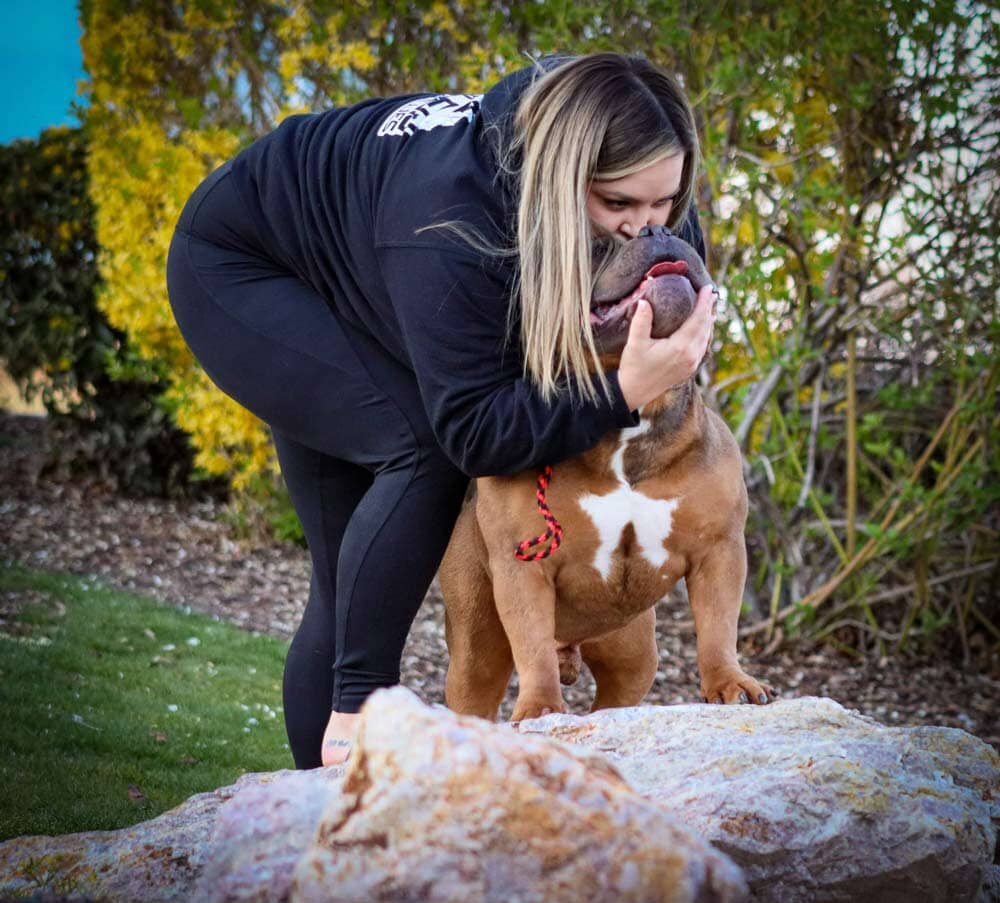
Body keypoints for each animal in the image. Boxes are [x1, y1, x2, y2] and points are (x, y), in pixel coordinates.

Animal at [438, 224, 772, 720]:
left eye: (669, 225)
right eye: (597, 247)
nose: (658, 229)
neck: (632, 423)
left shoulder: (720, 549)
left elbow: (719, 625)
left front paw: (729, 681)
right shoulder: (522, 571)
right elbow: (532, 646)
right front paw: (540, 707)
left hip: (632, 650)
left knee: (615, 695)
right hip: (475, 646)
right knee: (482, 683)